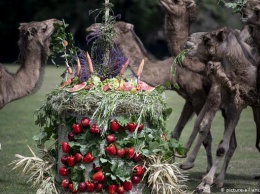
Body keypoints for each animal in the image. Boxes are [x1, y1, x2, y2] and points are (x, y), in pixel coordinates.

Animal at [184, 26, 258, 192]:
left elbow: (223, 146)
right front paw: (205, 182)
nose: (188, 40)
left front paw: (206, 183)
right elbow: (207, 129)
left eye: (207, 39)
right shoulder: (232, 98)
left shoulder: (239, 101)